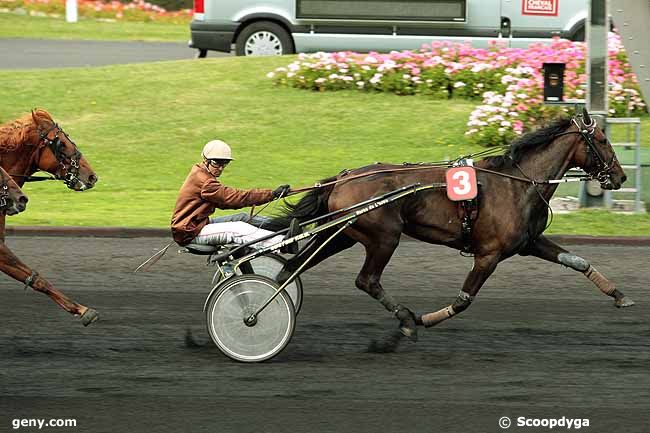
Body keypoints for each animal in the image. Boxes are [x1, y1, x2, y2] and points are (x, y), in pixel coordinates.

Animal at [0, 109, 98, 326]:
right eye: (62, 143)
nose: (92, 176)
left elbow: (33, 277)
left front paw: (80, 309)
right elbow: (36, 278)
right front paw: (82, 309)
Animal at [274, 109, 632, 340]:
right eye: (602, 139)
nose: (620, 176)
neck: (517, 183)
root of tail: (342, 178)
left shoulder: (529, 242)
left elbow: (578, 261)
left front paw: (619, 295)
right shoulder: (488, 255)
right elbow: (463, 300)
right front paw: (424, 319)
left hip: (344, 233)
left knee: (293, 265)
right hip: (384, 238)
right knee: (367, 280)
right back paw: (405, 318)